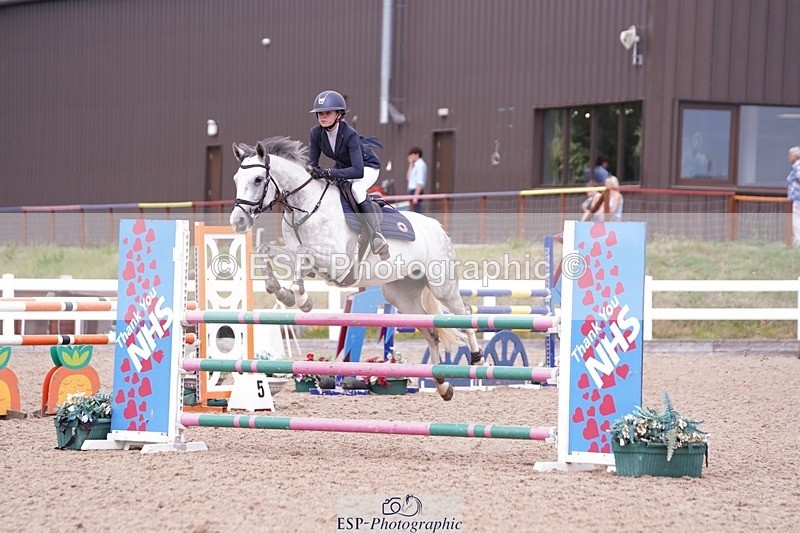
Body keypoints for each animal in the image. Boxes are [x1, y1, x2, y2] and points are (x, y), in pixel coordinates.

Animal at [228, 136, 485, 401]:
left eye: (258, 179)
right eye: (236, 179)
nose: (238, 222)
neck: (307, 206)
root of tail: (438, 227)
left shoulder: (337, 260)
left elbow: (302, 253)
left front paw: (301, 298)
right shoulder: (302, 257)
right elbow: (267, 250)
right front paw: (281, 292)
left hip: (441, 285)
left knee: (465, 312)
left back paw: (477, 360)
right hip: (402, 297)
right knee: (431, 332)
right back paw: (442, 385)